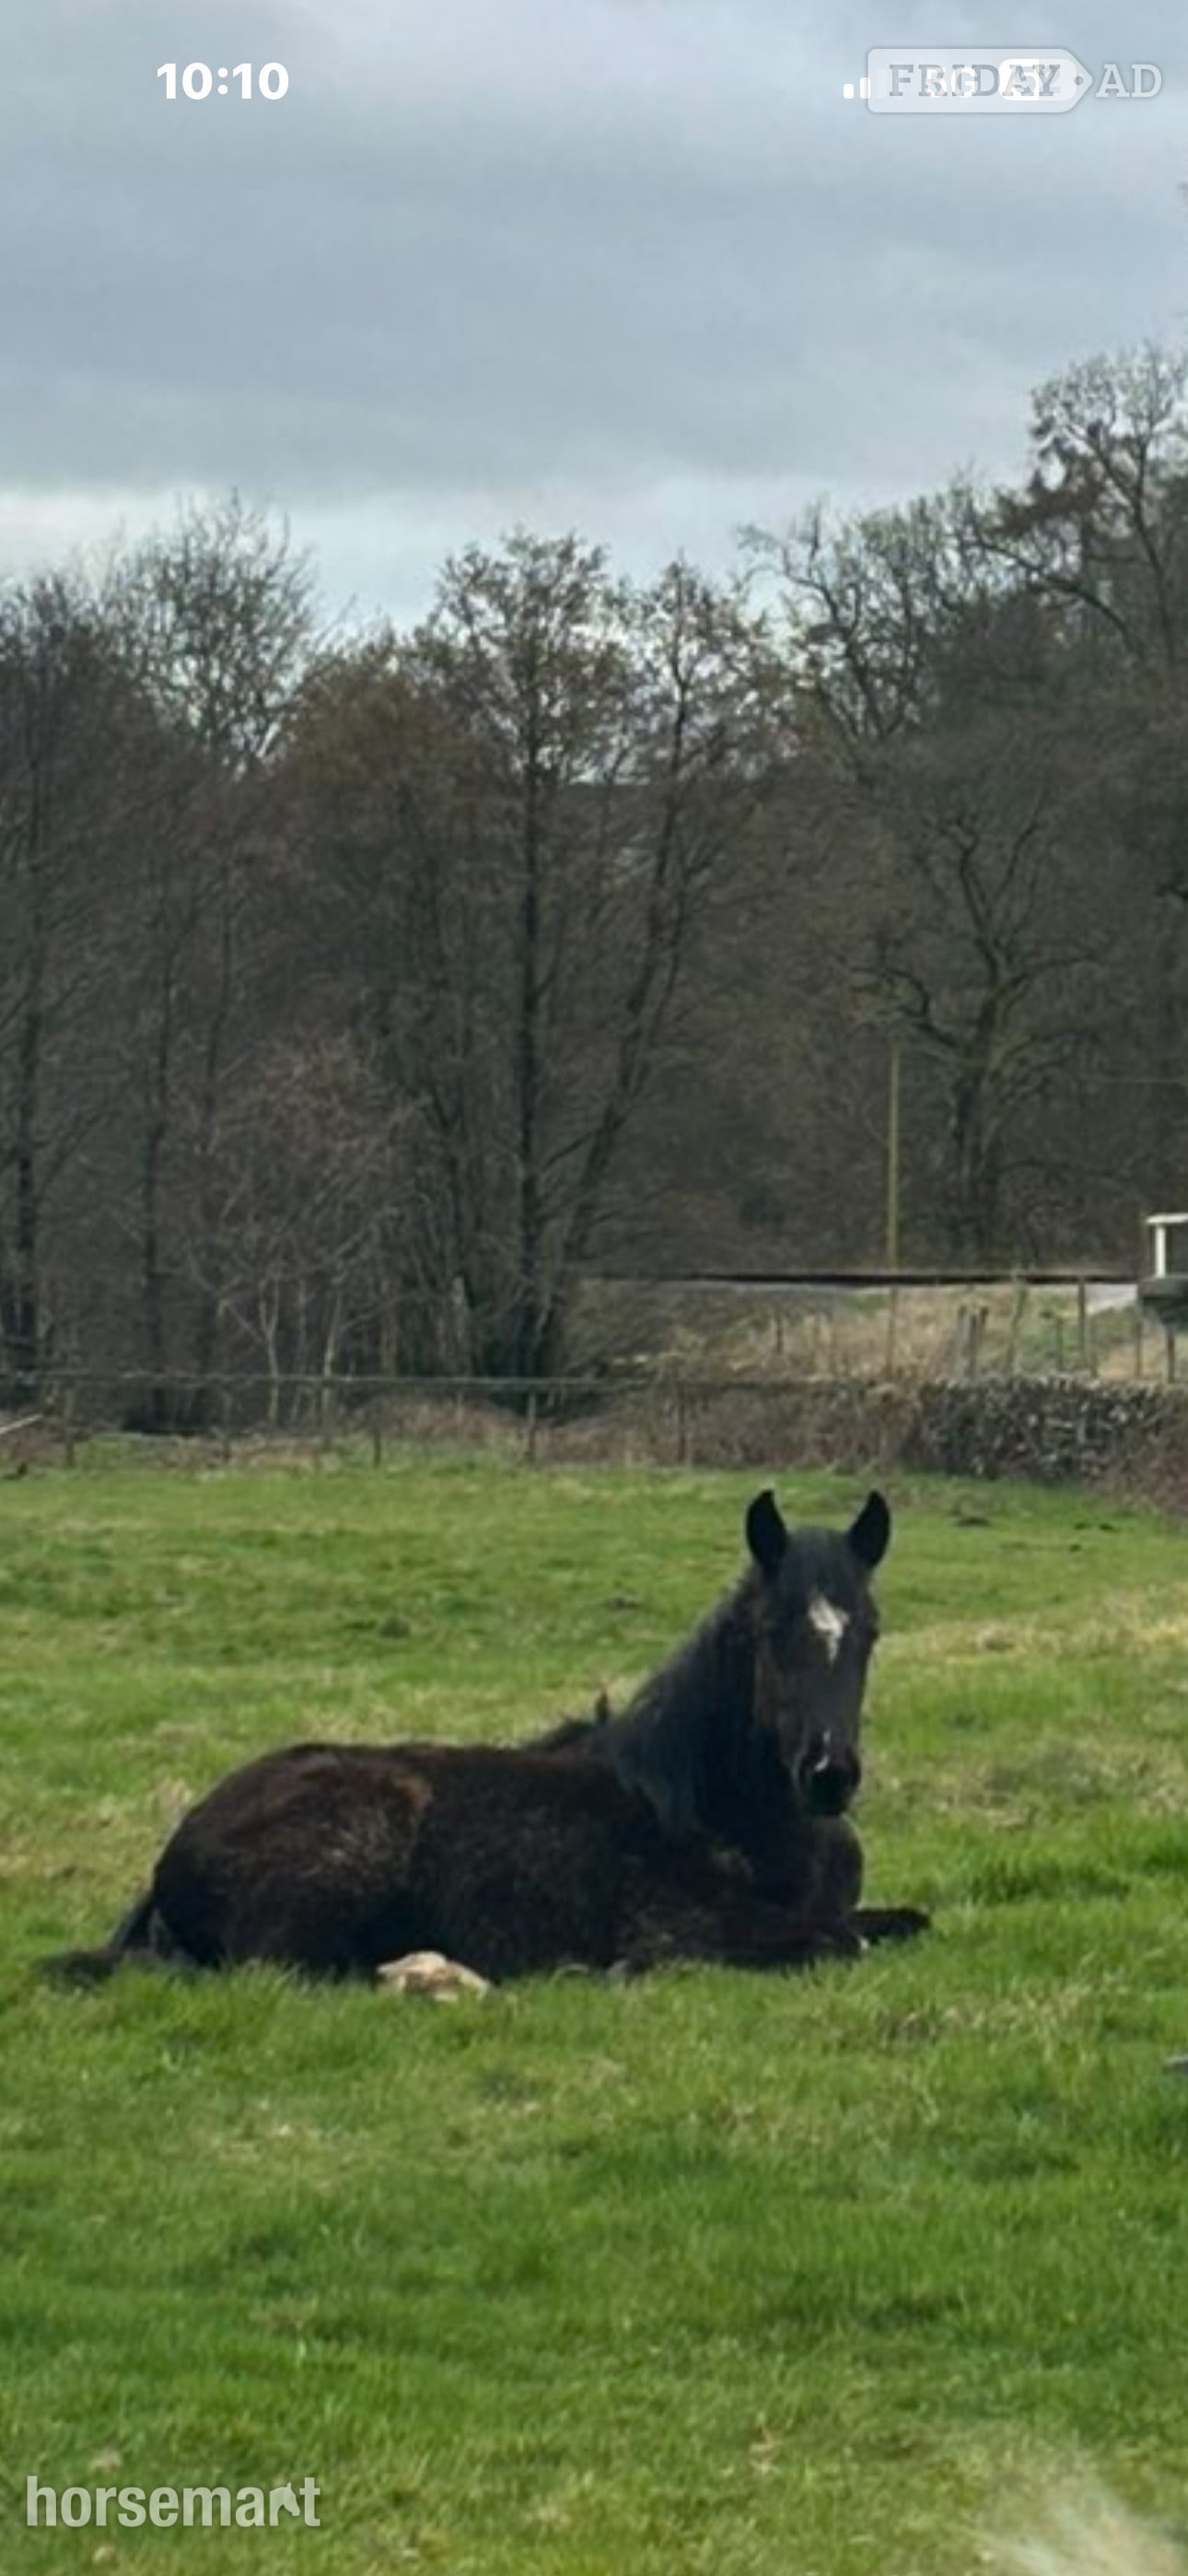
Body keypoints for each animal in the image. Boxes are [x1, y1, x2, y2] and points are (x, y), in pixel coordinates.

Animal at [45, 1487, 928, 1986]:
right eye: (774, 1631)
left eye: (869, 1632)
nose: (829, 1774)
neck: (716, 1810)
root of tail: (173, 1854)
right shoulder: (685, 1929)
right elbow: (835, 1941)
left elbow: (900, 1922)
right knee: (282, 1970)